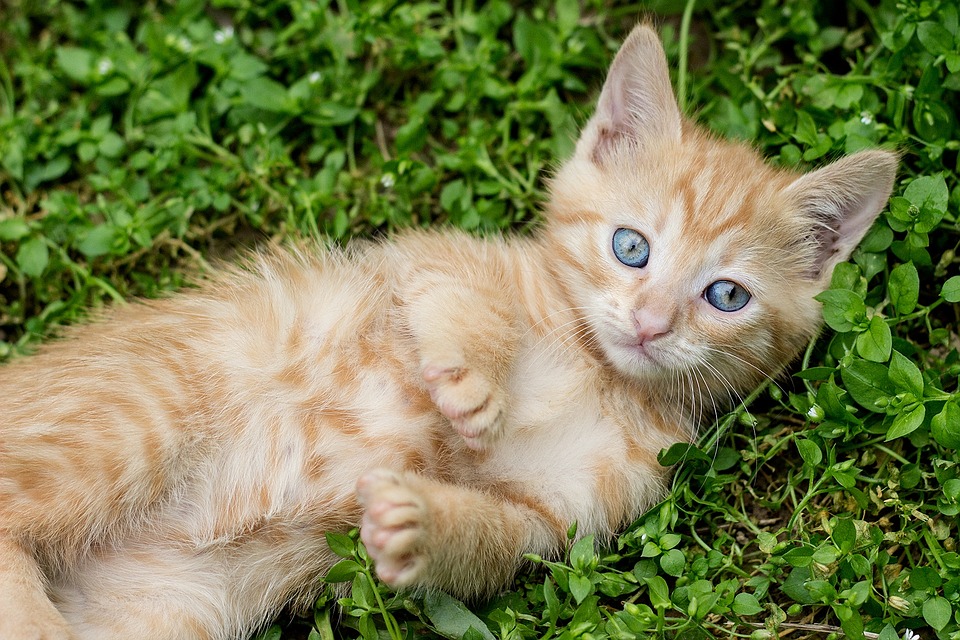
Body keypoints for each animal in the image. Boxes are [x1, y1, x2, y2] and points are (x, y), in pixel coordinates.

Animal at [0, 25, 892, 640]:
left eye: (726, 295)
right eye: (631, 247)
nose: (649, 323)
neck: (597, 369)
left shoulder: (560, 514)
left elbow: (491, 539)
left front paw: (423, 526)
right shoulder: (425, 262)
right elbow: (468, 304)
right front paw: (472, 388)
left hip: (155, 608)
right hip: (134, 417)